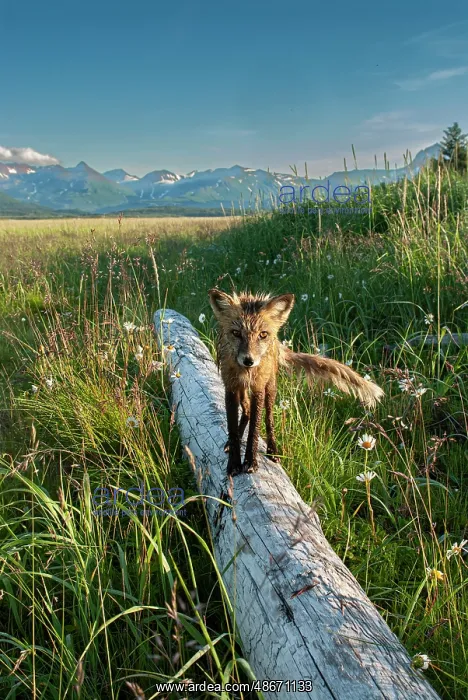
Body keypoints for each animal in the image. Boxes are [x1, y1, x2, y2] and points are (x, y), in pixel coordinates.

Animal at [208, 289, 384, 476]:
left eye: (263, 335)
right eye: (236, 333)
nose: (249, 360)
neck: (246, 372)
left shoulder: (258, 387)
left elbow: (255, 431)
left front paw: (250, 461)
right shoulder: (231, 387)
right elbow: (233, 429)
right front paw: (234, 463)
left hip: (270, 387)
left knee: (268, 419)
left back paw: (273, 450)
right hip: (242, 391)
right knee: (247, 411)